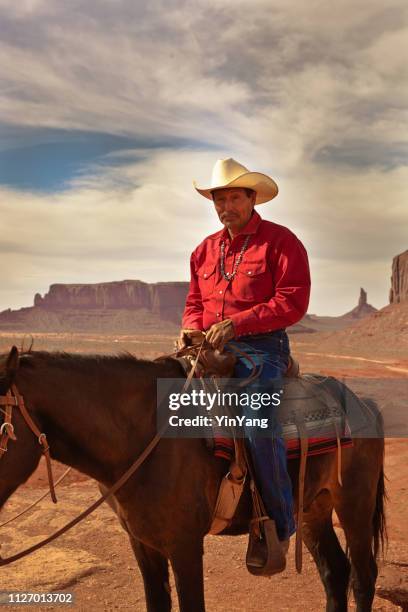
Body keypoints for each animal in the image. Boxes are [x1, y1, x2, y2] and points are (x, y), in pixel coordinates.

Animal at [0, 350, 386, 612]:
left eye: (1, 429)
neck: (142, 436)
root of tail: (363, 403)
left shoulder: (184, 544)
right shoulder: (142, 542)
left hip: (354, 503)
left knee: (363, 576)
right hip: (312, 509)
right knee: (335, 573)